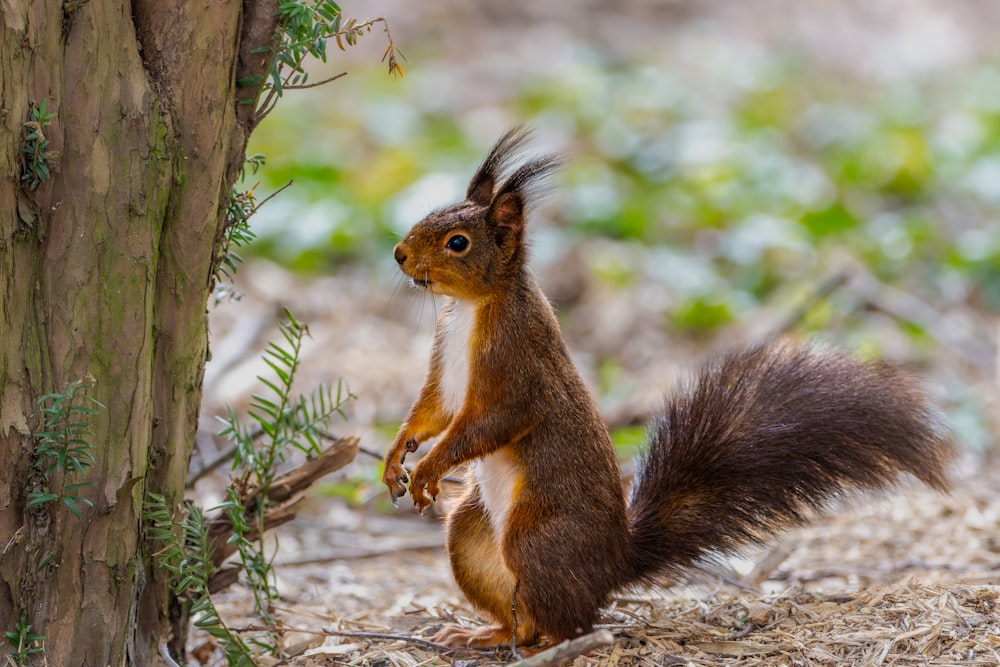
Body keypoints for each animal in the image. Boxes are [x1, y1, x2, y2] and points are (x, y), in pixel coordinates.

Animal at [382, 126, 952, 652]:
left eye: (458, 242)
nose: (399, 254)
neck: (473, 307)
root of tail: (612, 564)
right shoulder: (445, 368)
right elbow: (433, 409)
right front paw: (395, 457)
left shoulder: (516, 366)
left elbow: (490, 422)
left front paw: (429, 468)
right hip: (471, 534)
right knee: (519, 611)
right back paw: (489, 633)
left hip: (536, 539)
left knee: (575, 622)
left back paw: (549, 644)